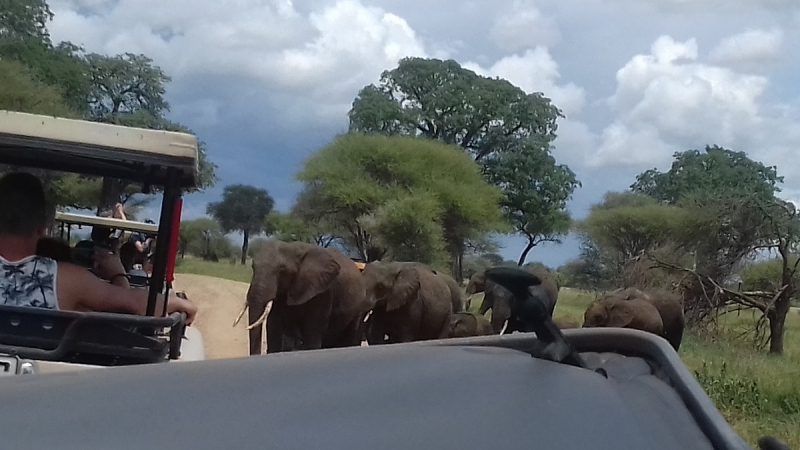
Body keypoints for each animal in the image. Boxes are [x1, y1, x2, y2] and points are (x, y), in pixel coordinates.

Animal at [238, 241, 372, 354]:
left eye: (282, 270)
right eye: (253, 267)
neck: (294, 248)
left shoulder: (323, 293)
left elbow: (312, 332)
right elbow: (274, 327)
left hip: (359, 306)